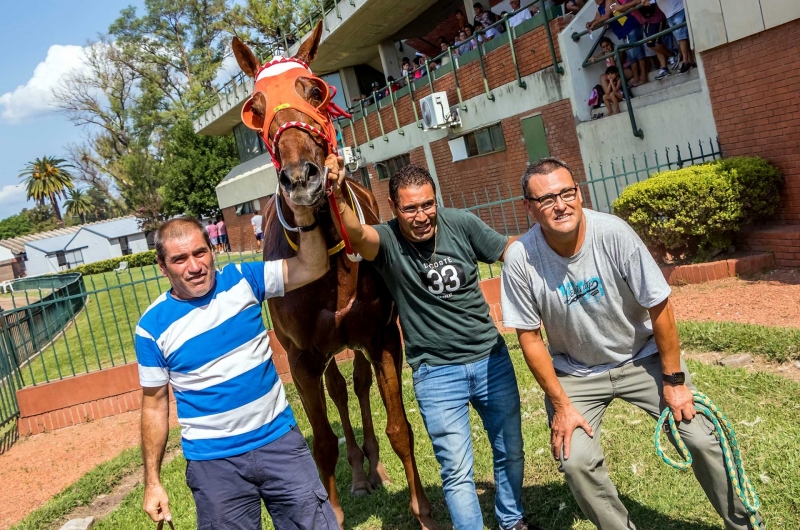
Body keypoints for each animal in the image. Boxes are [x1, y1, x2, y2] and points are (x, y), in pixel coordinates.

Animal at [233, 22, 438, 524]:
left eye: (315, 91)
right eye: (256, 110)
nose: (300, 178)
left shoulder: (382, 335)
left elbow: (399, 425)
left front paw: (423, 510)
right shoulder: (301, 356)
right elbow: (323, 443)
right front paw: (335, 510)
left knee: (358, 385)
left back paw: (373, 465)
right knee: (339, 391)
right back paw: (359, 473)